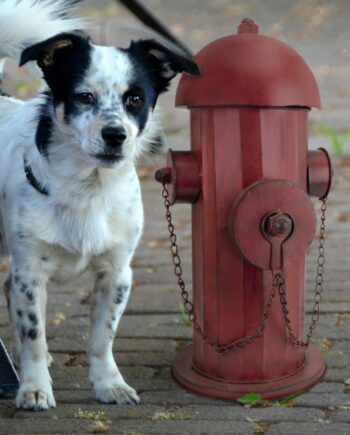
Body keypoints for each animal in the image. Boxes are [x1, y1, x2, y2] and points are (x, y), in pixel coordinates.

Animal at [0, 0, 198, 410]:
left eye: (135, 99)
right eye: (84, 97)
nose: (115, 135)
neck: (87, 188)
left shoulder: (117, 273)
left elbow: (102, 338)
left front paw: (110, 384)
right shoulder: (31, 271)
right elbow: (34, 334)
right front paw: (34, 387)